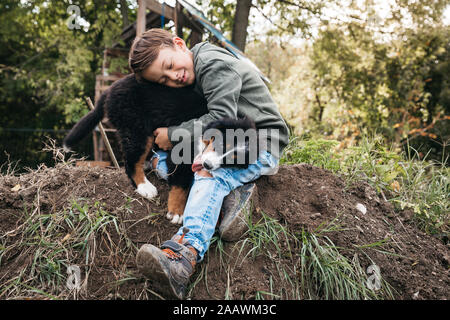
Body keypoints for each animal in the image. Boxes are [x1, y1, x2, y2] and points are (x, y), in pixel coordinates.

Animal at [64, 75, 258, 225]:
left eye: (232, 159)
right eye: (222, 144)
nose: (208, 165)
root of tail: (111, 87)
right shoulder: (181, 151)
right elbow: (181, 183)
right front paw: (177, 212)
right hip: (137, 128)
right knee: (132, 162)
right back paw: (145, 187)